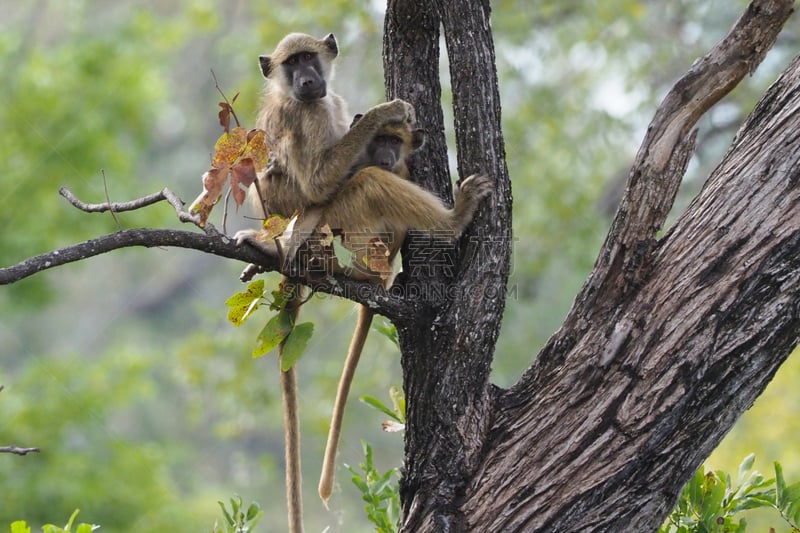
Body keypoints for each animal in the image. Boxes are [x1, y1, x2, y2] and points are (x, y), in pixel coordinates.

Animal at [231, 33, 416, 532]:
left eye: (308, 59)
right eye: (291, 64)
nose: (307, 81)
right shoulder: (309, 117)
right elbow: (316, 181)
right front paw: (384, 112)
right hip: (300, 219)